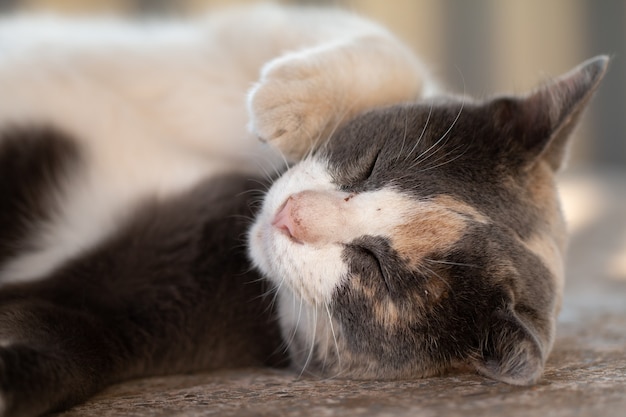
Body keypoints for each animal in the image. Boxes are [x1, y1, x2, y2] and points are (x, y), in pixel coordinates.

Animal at [0, 4, 608, 416]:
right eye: (372, 164)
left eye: (377, 270)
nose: (292, 214)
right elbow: (392, 53)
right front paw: (285, 104)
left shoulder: (139, 311)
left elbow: (71, 340)